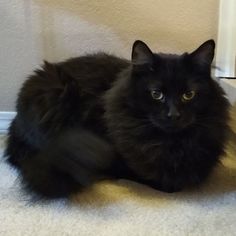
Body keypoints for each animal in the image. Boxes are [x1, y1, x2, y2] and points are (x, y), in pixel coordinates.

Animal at [5, 39, 230, 198]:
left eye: (188, 95)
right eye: (156, 94)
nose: (173, 115)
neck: (171, 144)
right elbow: (164, 182)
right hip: (56, 94)